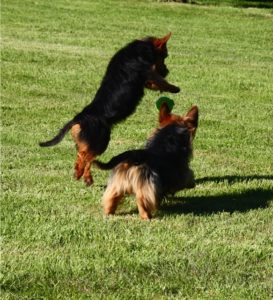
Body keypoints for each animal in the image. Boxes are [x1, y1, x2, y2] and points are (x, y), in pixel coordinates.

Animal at [38, 32, 178, 185]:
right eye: (165, 56)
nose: (167, 71)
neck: (140, 48)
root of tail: (80, 118)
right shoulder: (149, 75)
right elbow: (161, 82)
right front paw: (175, 88)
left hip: (88, 141)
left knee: (81, 155)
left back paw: (78, 173)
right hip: (101, 141)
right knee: (87, 157)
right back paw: (87, 177)